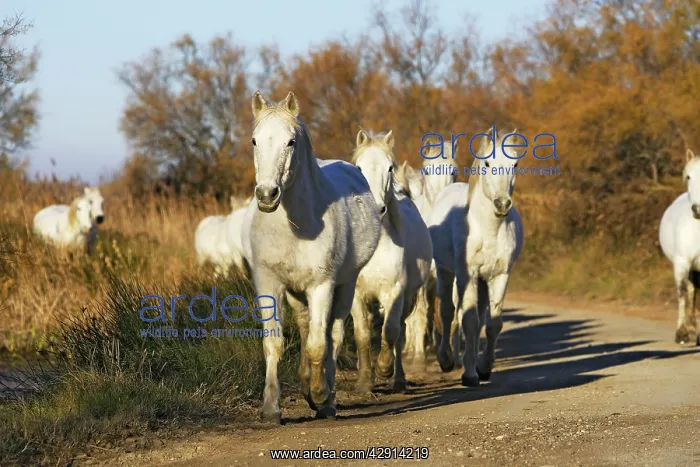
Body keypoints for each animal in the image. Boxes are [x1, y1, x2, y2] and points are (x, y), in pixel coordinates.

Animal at [240, 91, 382, 423]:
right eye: (254, 141)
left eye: (290, 142)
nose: (267, 195)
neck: (295, 226)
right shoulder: (269, 284)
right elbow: (274, 343)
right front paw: (271, 408)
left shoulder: (322, 286)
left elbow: (320, 345)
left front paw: (320, 395)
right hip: (296, 293)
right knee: (306, 326)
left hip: (345, 286)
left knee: (334, 334)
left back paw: (325, 398)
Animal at [350, 129, 433, 392]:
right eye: (358, 167)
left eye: (389, 168)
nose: (376, 209)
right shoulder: (357, 295)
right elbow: (363, 335)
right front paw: (364, 381)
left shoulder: (395, 292)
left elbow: (391, 331)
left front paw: (384, 369)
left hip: (407, 297)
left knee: (401, 331)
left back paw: (398, 379)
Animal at [428, 127, 523, 386]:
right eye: (488, 163)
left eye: (515, 165)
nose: (502, 204)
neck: (488, 229)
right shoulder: (466, 275)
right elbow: (468, 321)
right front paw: (469, 374)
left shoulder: (500, 275)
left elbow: (492, 324)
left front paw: (484, 368)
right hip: (446, 273)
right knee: (448, 312)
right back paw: (446, 360)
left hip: (481, 281)